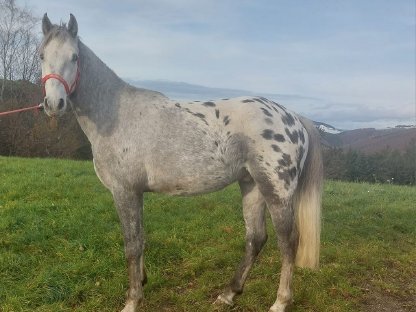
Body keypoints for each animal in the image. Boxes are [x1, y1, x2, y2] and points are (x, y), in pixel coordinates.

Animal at [39, 12, 324, 312]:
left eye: (74, 57)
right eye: (41, 55)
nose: (54, 103)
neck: (114, 116)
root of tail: (294, 117)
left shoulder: (124, 191)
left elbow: (131, 245)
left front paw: (132, 300)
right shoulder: (136, 193)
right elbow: (141, 239)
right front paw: (142, 282)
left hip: (276, 191)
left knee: (288, 242)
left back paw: (280, 302)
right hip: (252, 185)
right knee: (255, 238)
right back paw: (228, 294)